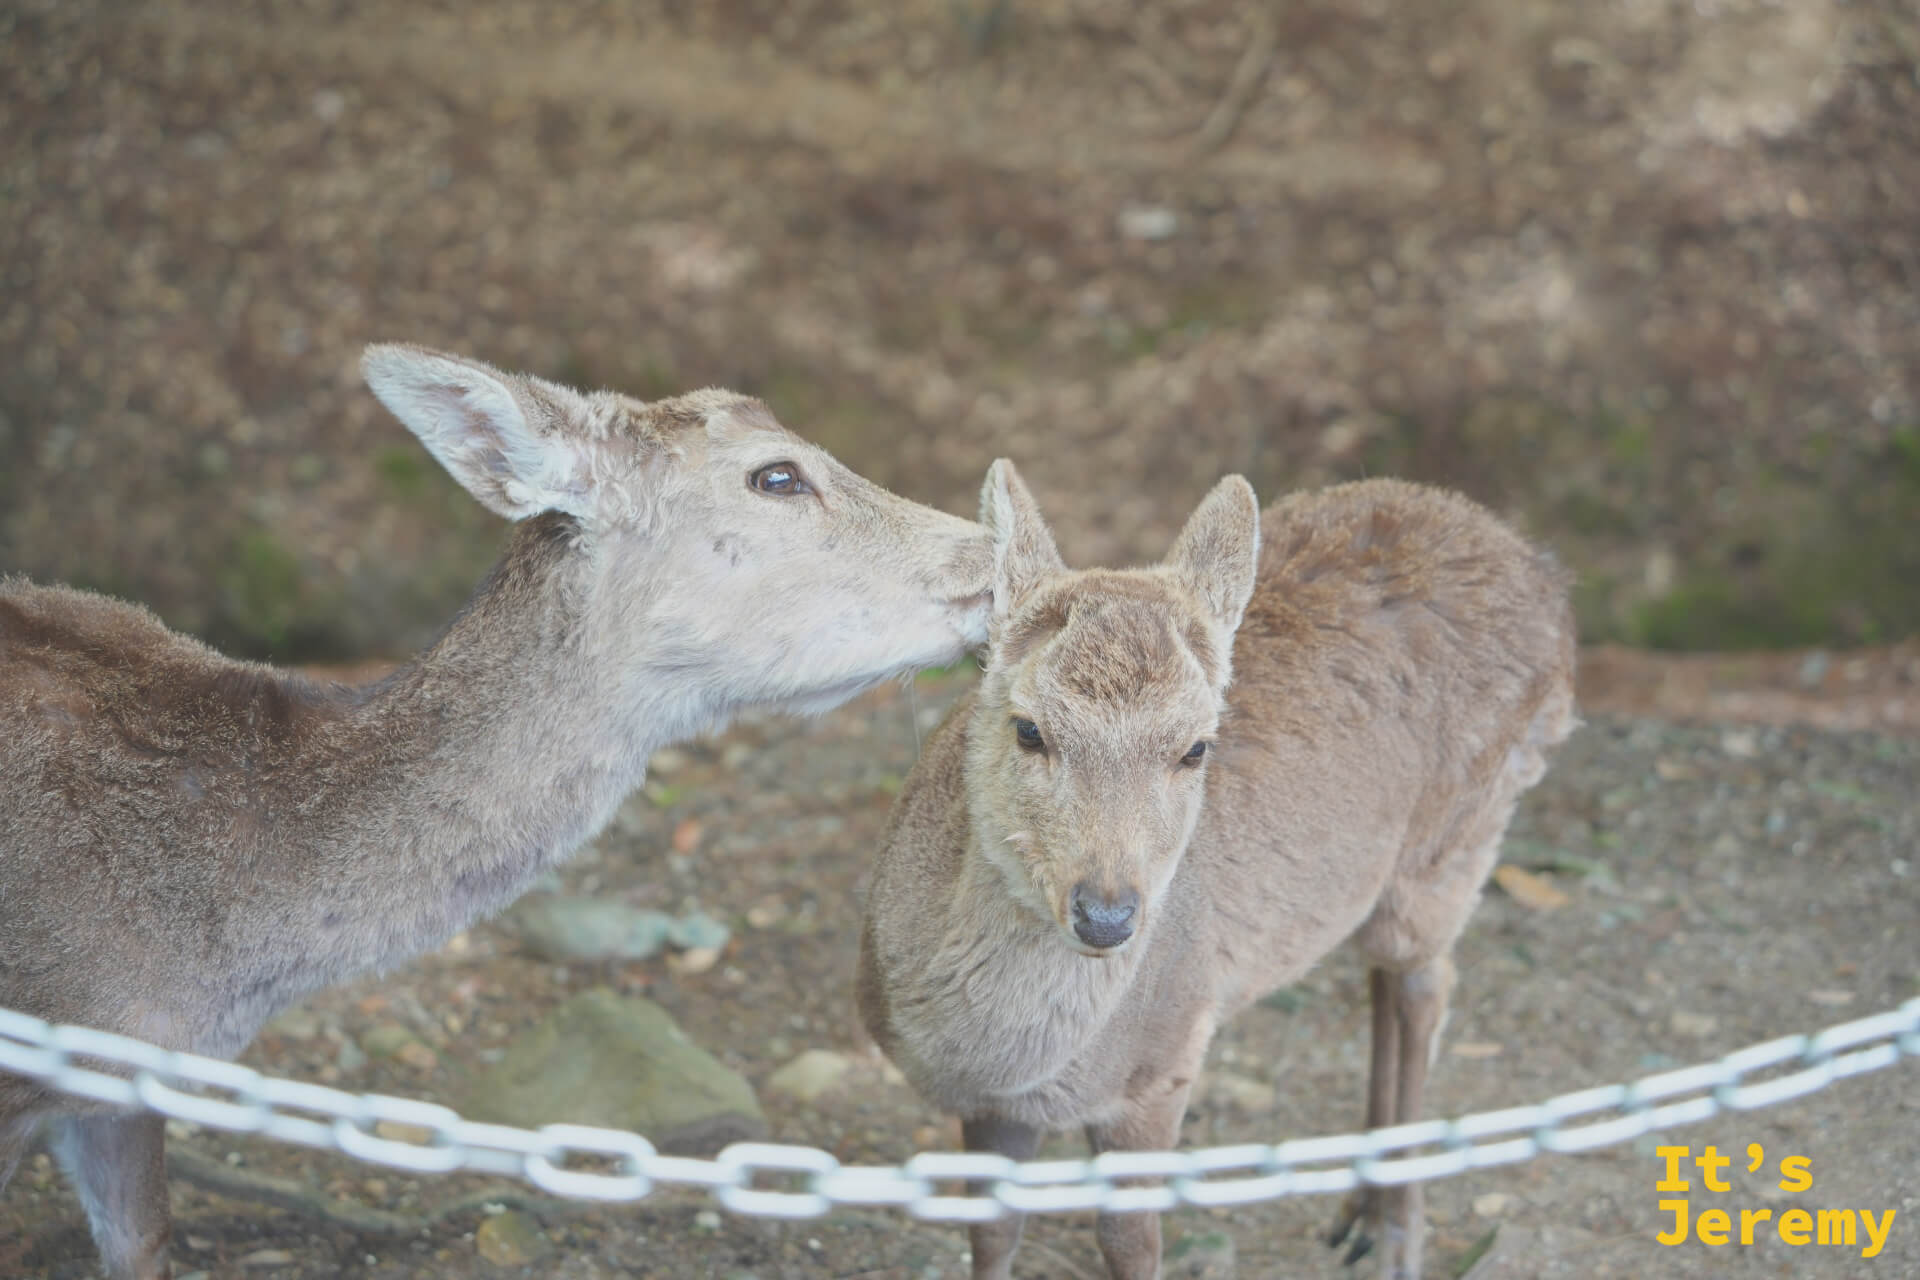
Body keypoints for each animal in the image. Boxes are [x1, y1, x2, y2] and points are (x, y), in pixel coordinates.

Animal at [857, 462, 1576, 1280]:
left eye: (1196, 747)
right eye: (1028, 728)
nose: (1107, 915)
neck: (1000, 1061)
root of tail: (1538, 567)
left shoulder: (1165, 1065)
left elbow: (1131, 1243)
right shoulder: (993, 1112)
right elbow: (990, 1234)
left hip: (1461, 836)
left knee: (1429, 980)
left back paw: (1395, 1231)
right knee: (1382, 976)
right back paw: (1359, 1207)